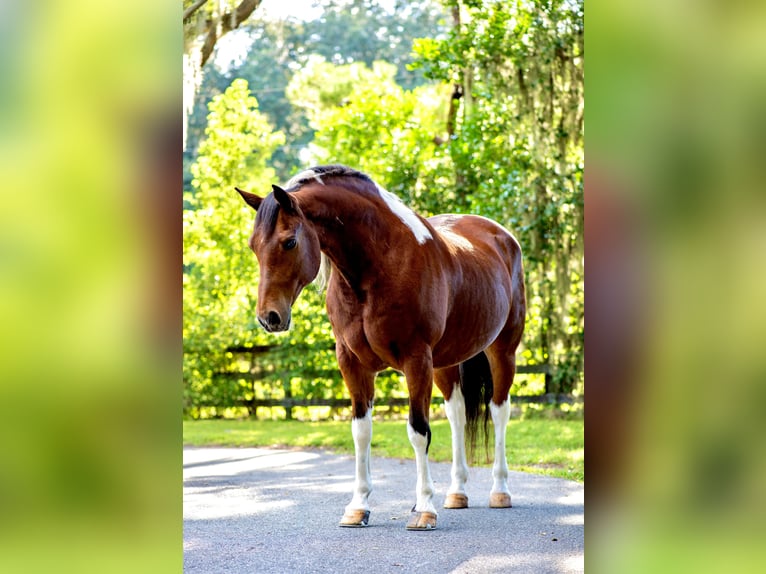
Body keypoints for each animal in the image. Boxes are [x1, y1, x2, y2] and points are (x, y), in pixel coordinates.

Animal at [235, 165, 525, 530]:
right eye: (253, 246)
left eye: (289, 241)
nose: (269, 318)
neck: (378, 267)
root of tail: (503, 237)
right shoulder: (352, 363)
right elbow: (361, 431)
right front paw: (358, 507)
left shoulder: (417, 360)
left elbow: (419, 432)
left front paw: (424, 509)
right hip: (446, 363)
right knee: (457, 415)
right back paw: (457, 493)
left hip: (502, 350)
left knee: (499, 410)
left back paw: (500, 491)